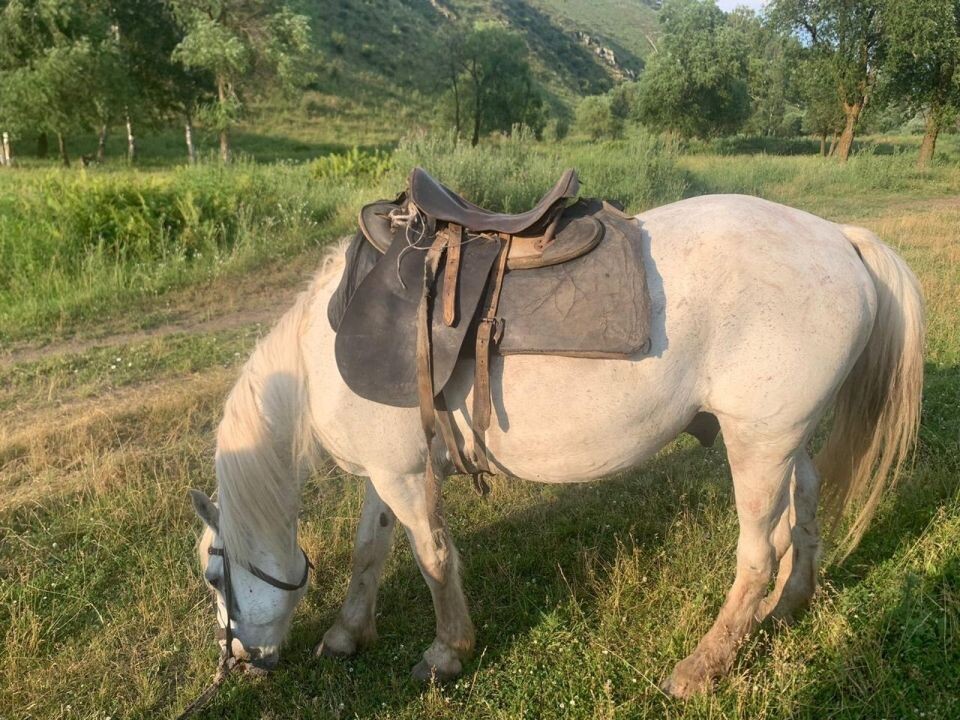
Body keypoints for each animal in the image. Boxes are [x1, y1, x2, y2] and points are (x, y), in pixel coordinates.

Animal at [188, 193, 924, 696]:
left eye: (215, 575)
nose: (241, 663)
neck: (321, 350)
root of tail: (838, 238)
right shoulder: (389, 470)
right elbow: (371, 549)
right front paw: (346, 633)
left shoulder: (401, 474)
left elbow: (432, 557)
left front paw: (447, 651)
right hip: (781, 438)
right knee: (805, 509)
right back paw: (788, 606)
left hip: (757, 447)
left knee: (757, 555)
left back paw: (701, 666)